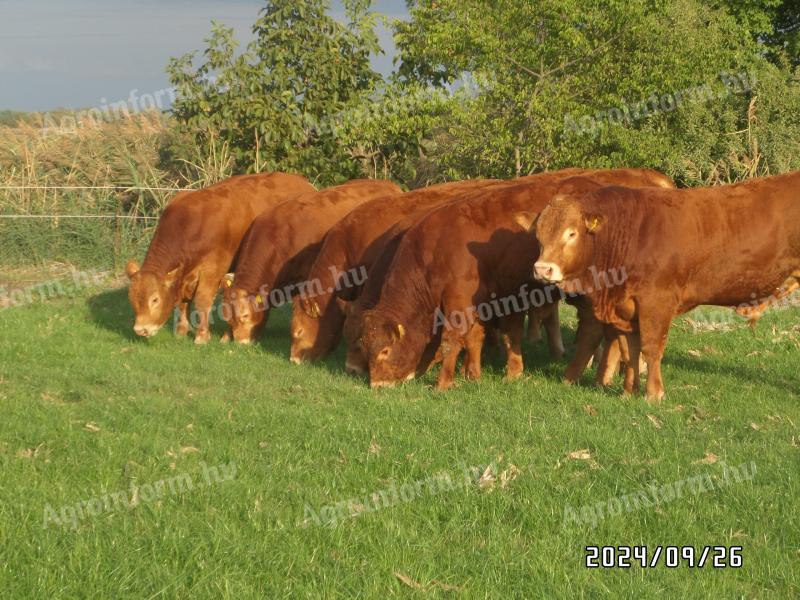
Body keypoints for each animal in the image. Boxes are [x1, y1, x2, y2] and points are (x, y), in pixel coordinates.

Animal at [125, 171, 312, 344]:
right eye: (132, 298)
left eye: (155, 299)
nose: (141, 329)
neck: (189, 225)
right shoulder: (184, 276)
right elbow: (183, 301)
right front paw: (182, 330)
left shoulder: (213, 268)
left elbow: (202, 300)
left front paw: (202, 336)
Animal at [360, 169, 672, 390]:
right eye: (367, 348)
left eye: (385, 351)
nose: (377, 384)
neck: (434, 250)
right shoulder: (486, 300)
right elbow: (479, 335)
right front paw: (475, 373)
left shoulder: (459, 302)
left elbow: (453, 339)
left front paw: (444, 382)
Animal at [536, 171, 800, 400]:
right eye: (540, 236)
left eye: (571, 233)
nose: (542, 268)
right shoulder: (626, 308)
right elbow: (629, 350)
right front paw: (628, 391)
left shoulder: (657, 301)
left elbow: (651, 348)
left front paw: (654, 394)